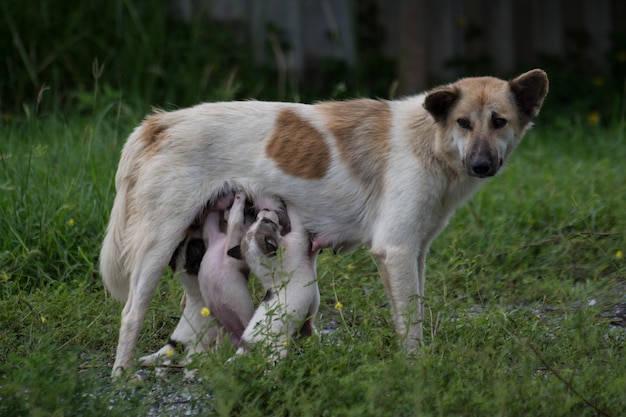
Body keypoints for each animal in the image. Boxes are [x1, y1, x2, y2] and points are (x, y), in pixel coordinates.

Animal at [232, 205, 322, 358]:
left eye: (261, 220)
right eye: (266, 222)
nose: (264, 209)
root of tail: (247, 345)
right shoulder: (297, 238)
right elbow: (297, 220)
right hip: (278, 350)